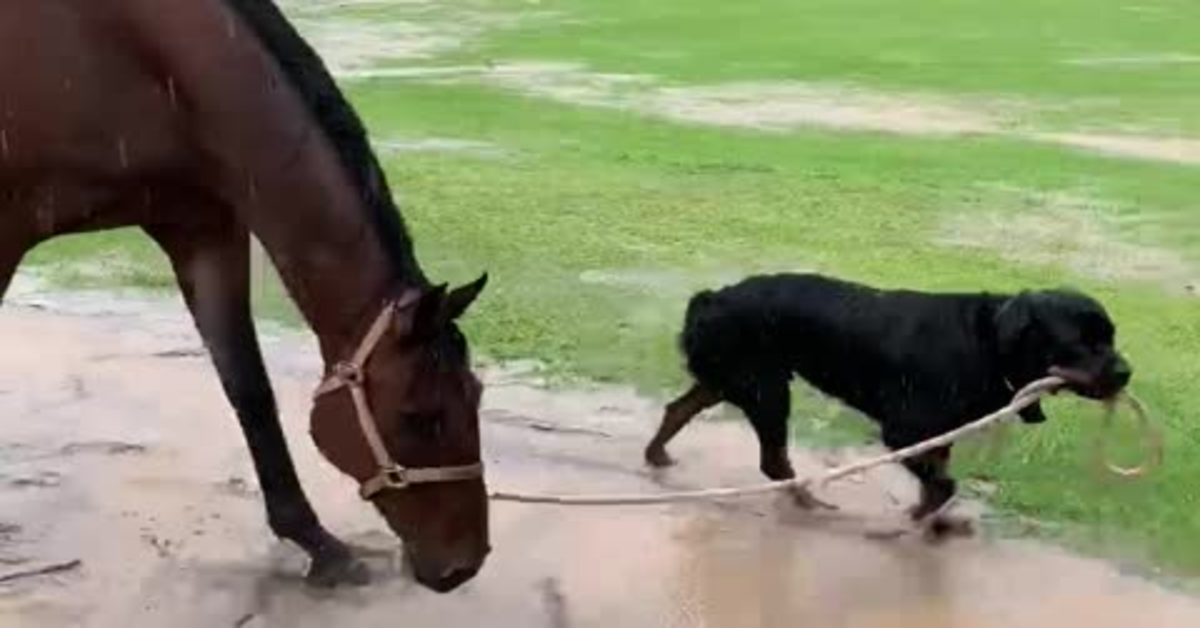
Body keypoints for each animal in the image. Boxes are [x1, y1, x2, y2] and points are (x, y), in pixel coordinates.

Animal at [0, 0, 492, 593]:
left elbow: (249, 389)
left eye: (476, 395)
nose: (463, 566)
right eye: (421, 417)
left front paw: (316, 541)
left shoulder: (204, 226)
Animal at [643, 272, 1128, 523]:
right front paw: (924, 519)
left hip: (729, 378)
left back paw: (657, 455)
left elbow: (938, 477)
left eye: (1110, 336)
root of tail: (712, 298)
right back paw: (807, 500)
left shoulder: (939, 435)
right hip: (765, 388)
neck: (987, 341)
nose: (1126, 372)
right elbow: (942, 485)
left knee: (678, 409)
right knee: (772, 461)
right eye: (1081, 342)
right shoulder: (903, 433)